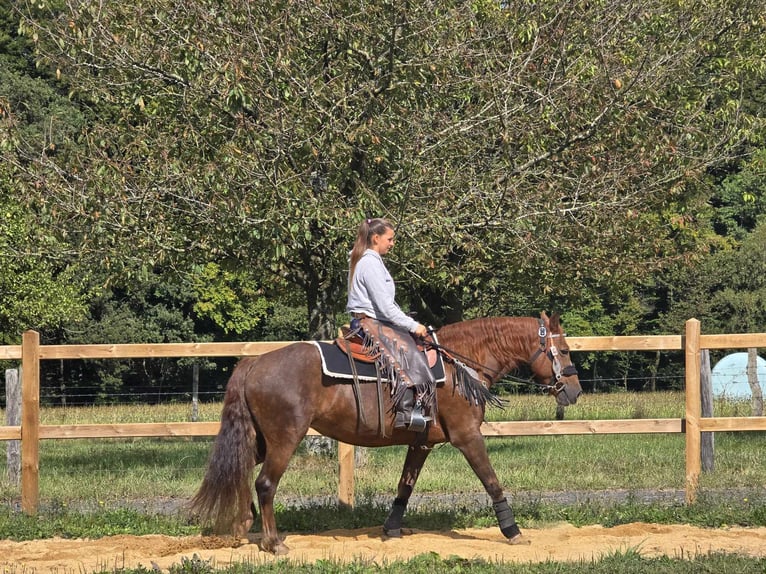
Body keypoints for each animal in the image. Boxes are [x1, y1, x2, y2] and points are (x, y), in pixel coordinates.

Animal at [192, 312, 584, 556]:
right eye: (564, 350)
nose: (575, 391)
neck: (460, 365)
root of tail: (254, 361)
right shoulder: (467, 437)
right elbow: (492, 482)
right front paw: (512, 531)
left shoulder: (422, 443)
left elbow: (405, 486)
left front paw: (391, 529)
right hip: (285, 440)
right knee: (265, 484)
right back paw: (273, 543)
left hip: (259, 439)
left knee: (240, 471)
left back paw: (242, 527)